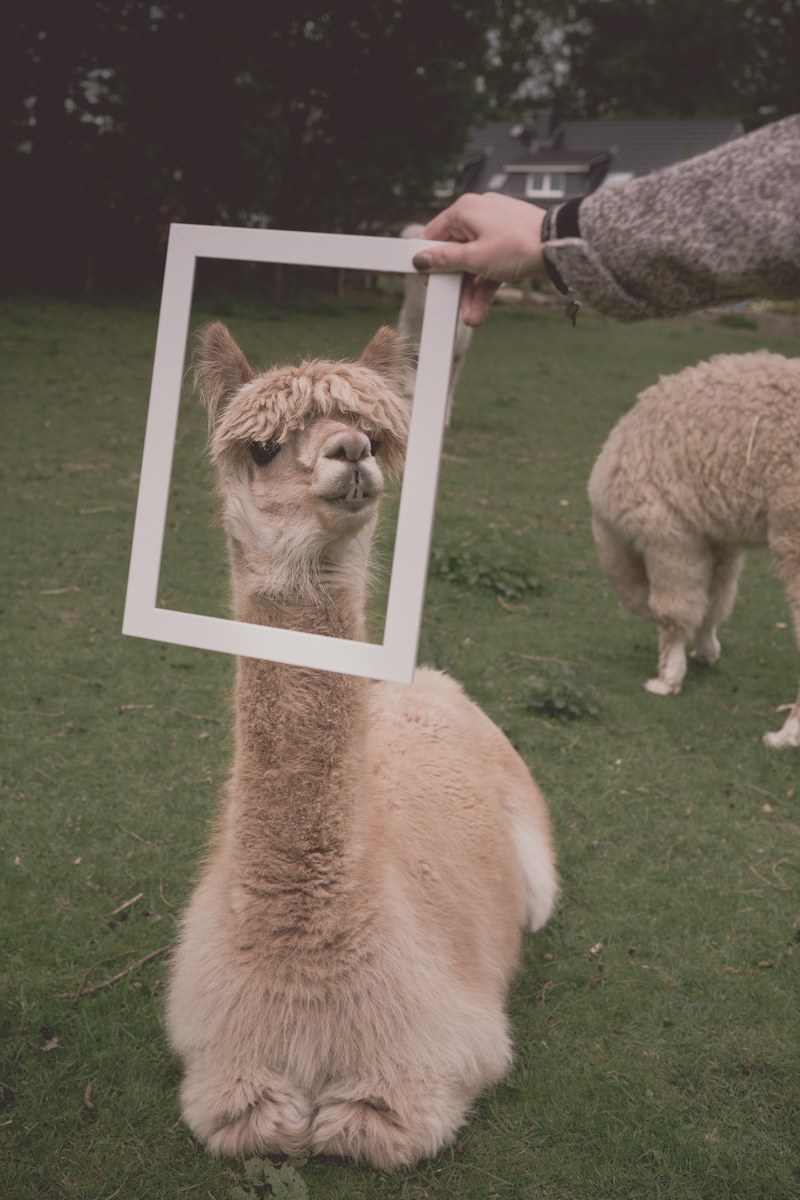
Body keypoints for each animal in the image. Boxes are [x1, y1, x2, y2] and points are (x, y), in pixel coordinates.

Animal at [165, 321, 558, 1170]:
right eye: (264, 447)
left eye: (374, 435)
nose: (350, 453)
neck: (306, 962)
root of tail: (426, 683)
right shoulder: (224, 1066)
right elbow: (252, 1117)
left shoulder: (436, 1057)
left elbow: (366, 1125)